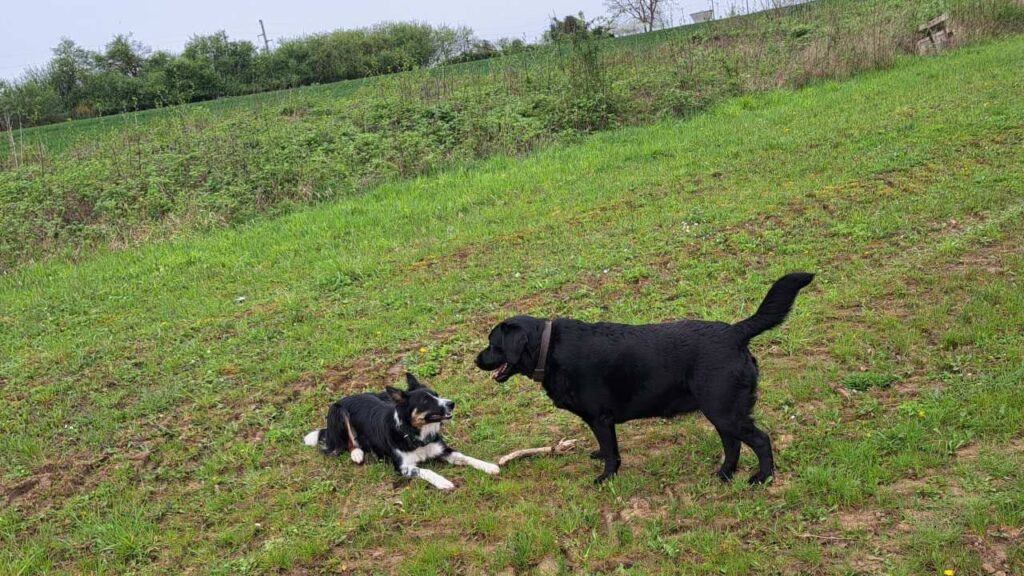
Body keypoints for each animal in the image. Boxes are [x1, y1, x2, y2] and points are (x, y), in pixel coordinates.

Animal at [299, 373, 499, 487]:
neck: (417, 435)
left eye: (436, 394)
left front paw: (489, 466)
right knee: (345, 444)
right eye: (425, 401)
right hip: (338, 411)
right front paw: (443, 482)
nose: (452, 403)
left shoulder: (443, 450)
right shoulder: (402, 467)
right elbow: (426, 471)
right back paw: (356, 453)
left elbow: (465, 457)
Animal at [473, 270, 815, 481]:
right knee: (732, 445)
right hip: (720, 412)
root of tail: (735, 332)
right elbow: (606, 447)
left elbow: (612, 453)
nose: (476, 360)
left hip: (724, 410)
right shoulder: (600, 421)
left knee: (760, 440)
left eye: (492, 343)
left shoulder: (601, 418)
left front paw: (606, 477)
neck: (548, 348)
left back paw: (762, 477)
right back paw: (725, 474)